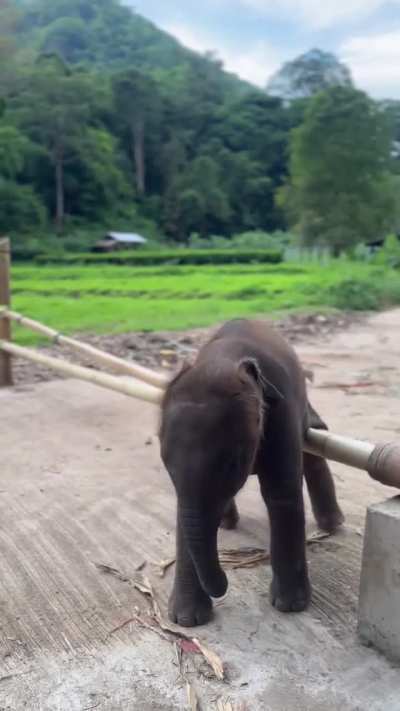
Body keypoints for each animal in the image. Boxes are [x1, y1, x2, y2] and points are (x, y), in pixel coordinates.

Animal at [159, 319, 344, 627]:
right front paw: (186, 620)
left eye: (233, 463)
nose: (225, 583)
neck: (224, 357)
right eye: (165, 463)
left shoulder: (282, 410)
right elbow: (184, 513)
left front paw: (290, 606)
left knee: (314, 448)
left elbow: (281, 492)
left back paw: (332, 525)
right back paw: (227, 523)